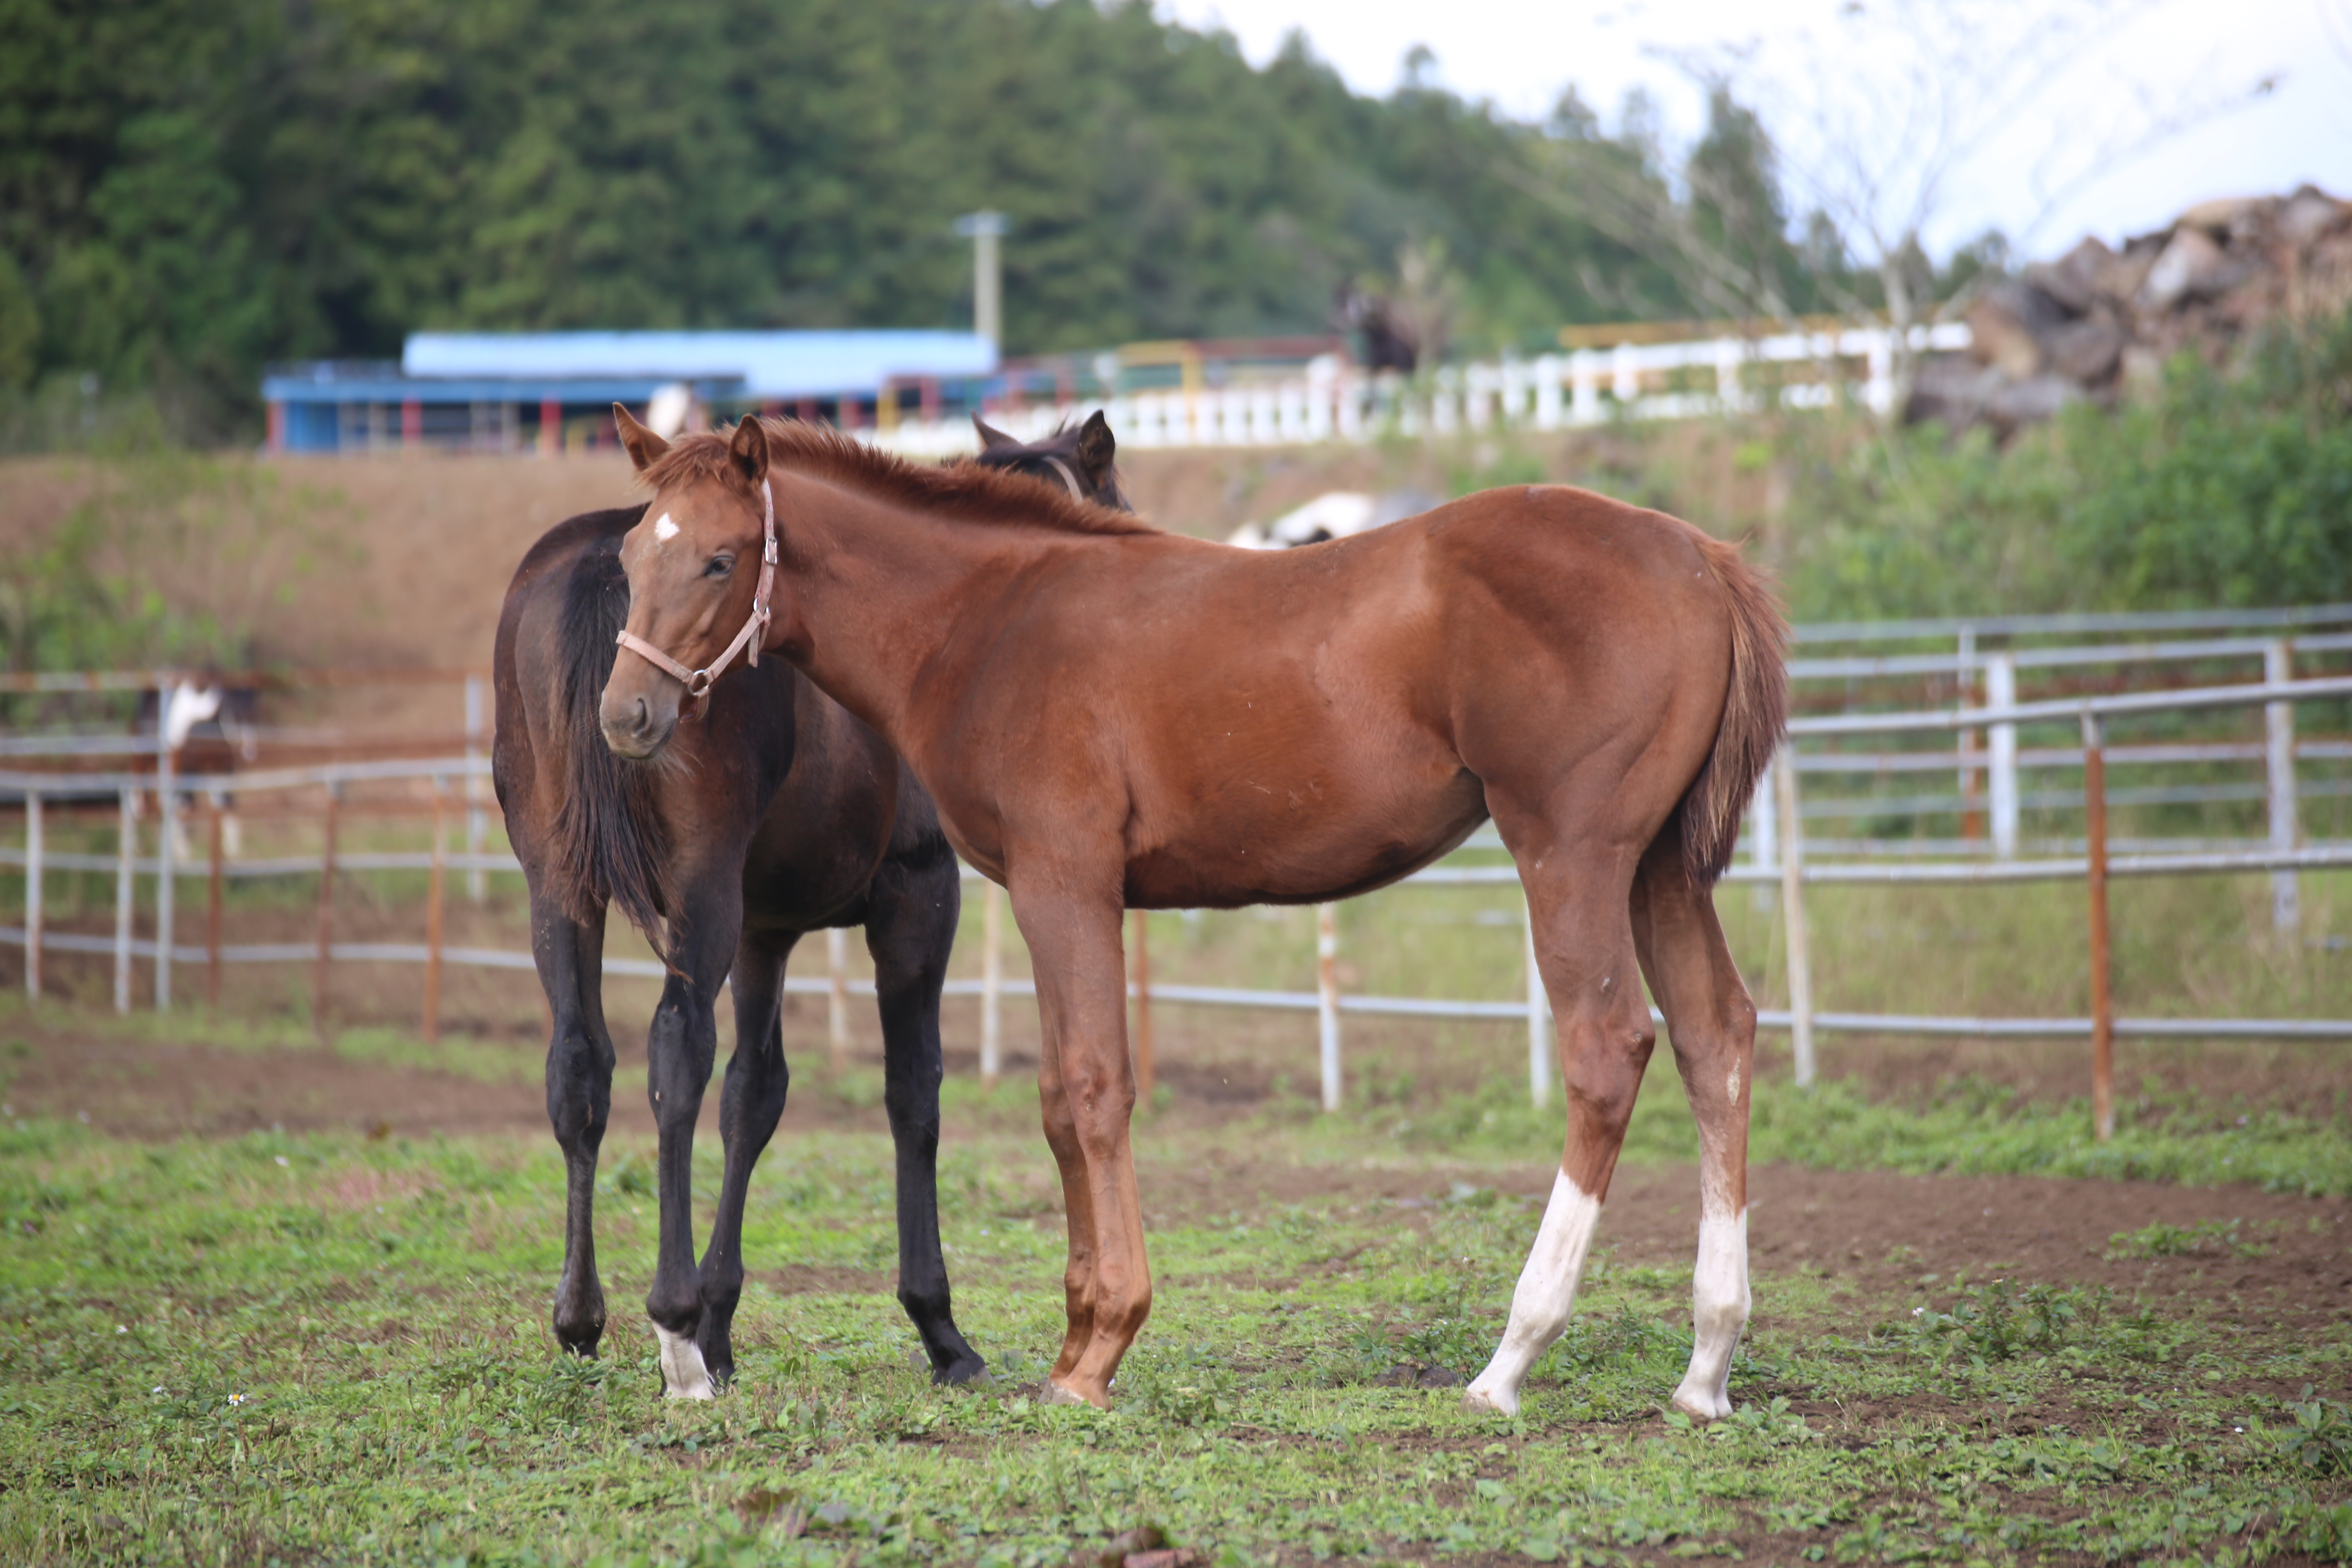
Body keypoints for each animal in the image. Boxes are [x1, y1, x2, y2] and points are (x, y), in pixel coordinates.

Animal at [592, 411, 1778, 1420]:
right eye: (630, 558)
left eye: (719, 558)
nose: (625, 716)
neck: (988, 620)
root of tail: (1697, 556)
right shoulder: (1058, 895)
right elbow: (1062, 1100)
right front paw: (1077, 1338)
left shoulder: (1064, 882)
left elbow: (1090, 1090)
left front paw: (1098, 1347)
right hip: (1660, 870)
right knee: (1715, 1036)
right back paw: (1705, 1365)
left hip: (1570, 857)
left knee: (1607, 1048)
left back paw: (1510, 1360)